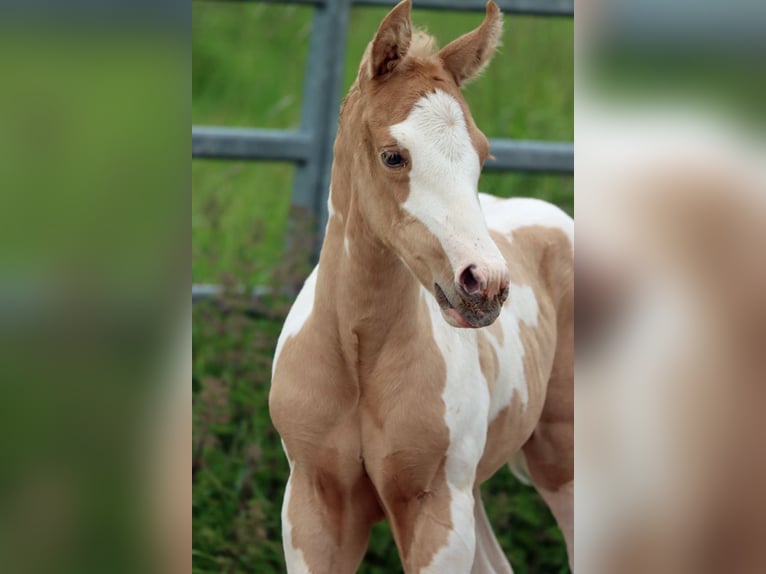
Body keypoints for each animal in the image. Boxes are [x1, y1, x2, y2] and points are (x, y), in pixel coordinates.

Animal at [269, 1, 573, 571]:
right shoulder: (312, 506)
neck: (360, 357)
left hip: (559, 459)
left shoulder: (437, 511)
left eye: (483, 154)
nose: (486, 285)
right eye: (393, 155)